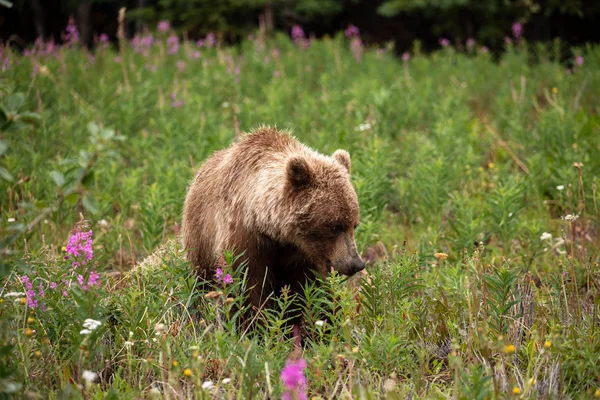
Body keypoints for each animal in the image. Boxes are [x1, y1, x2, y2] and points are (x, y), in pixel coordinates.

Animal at [180, 125, 364, 310]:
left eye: (354, 225)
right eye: (335, 226)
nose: (356, 264)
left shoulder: (302, 254)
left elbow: (307, 290)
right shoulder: (243, 238)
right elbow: (246, 286)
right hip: (200, 239)